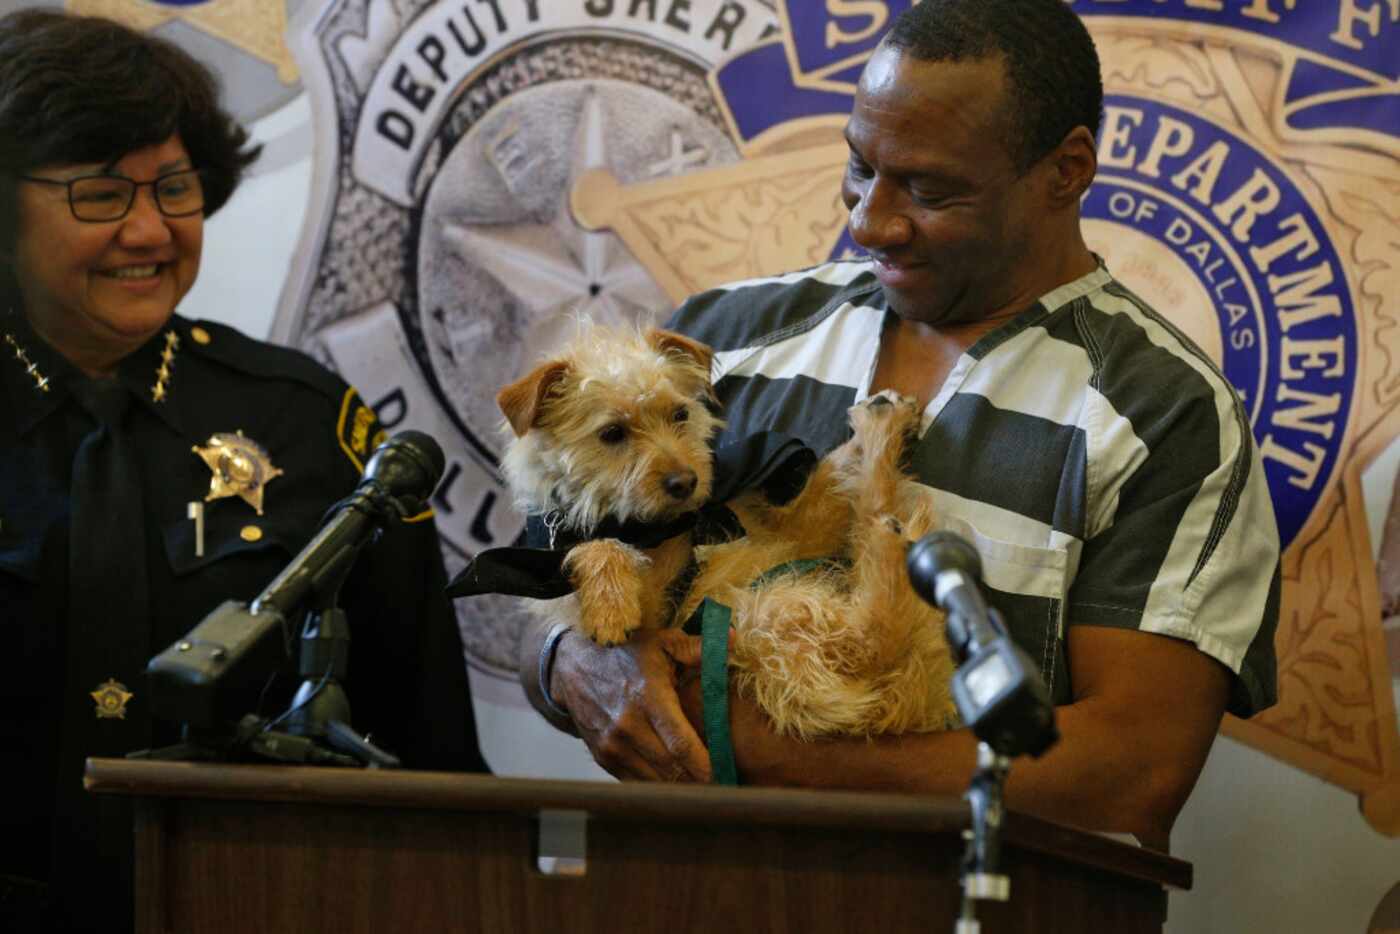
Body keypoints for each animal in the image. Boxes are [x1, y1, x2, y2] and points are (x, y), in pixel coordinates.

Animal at [498, 324, 957, 739]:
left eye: (680, 414)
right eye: (612, 433)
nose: (686, 482)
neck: (668, 526)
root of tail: (908, 705)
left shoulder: (786, 530)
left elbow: (833, 471)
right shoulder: (652, 616)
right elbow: (598, 547)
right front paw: (610, 602)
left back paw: (884, 445)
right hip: (762, 619)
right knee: (869, 637)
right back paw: (891, 537)